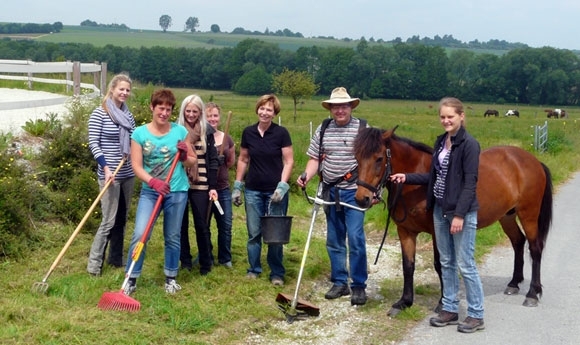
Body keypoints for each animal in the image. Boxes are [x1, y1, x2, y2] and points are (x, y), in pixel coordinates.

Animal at [354, 125, 552, 314]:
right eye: (356, 158)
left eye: (379, 158)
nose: (362, 198)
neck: (415, 186)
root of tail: (533, 160)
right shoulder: (405, 231)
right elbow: (408, 266)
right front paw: (404, 302)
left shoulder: (437, 231)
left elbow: (440, 265)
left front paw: (443, 303)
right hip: (507, 216)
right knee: (518, 242)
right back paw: (514, 283)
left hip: (528, 215)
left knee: (535, 248)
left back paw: (532, 293)